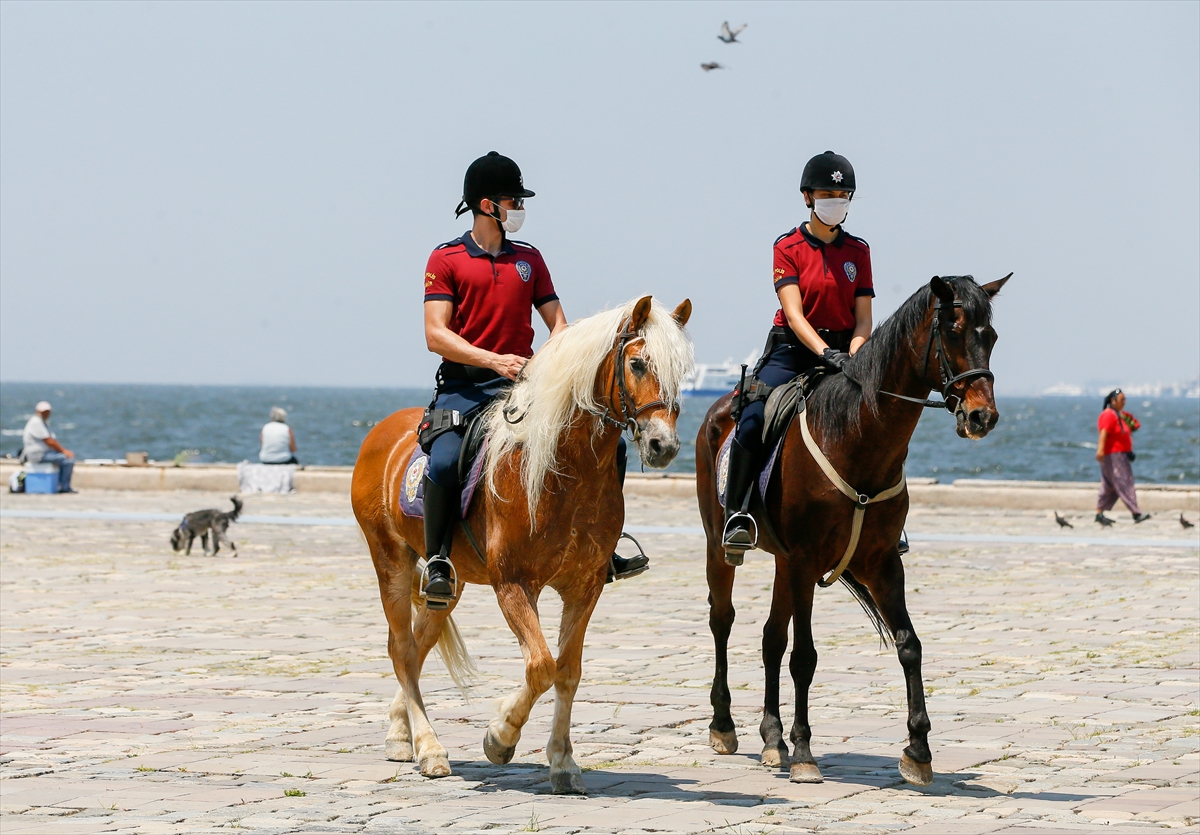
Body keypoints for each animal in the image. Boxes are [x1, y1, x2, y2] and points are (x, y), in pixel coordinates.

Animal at [350, 296, 696, 791]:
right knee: (402, 649)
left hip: (449, 583)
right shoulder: (514, 584)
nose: (662, 445)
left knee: (419, 644)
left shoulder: (585, 587)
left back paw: (404, 735)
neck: (566, 469)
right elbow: (541, 665)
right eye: (636, 363)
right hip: (390, 561)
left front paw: (563, 762)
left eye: (681, 370)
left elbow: (567, 671)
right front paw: (500, 737)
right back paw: (430, 748)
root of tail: (381, 432)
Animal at [700, 273, 1008, 782]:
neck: (857, 437)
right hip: (721, 546)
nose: (982, 416)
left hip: (784, 563)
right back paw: (724, 726)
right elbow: (804, 657)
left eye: (992, 336)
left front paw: (918, 749)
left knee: (770, 638)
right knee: (723, 620)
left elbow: (909, 645)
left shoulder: (879, 563)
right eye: (953, 331)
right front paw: (805, 752)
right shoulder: (806, 560)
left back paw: (772, 739)